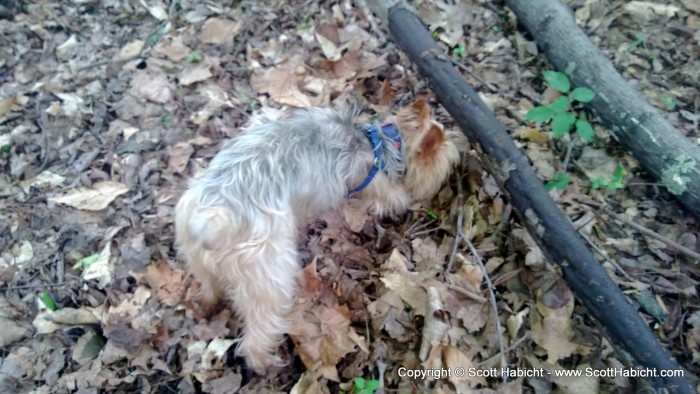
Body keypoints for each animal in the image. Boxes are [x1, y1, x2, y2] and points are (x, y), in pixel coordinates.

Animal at [174, 97, 462, 372]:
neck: (381, 141)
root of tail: (211, 216)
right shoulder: (375, 184)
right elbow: (394, 197)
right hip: (268, 274)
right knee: (258, 330)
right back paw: (265, 363)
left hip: (198, 256)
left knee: (208, 284)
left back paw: (207, 303)